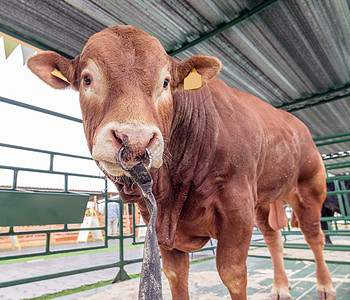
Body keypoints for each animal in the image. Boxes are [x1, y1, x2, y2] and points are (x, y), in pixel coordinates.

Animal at [26, 25, 334, 300]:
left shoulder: (237, 206)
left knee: (314, 235)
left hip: (310, 188)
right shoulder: (160, 224)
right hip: (264, 202)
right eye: (87, 79)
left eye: (165, 82)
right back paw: (281, 286)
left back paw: (325, 286)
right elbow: (176, 275)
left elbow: (233, 274)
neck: (173, 189)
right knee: (273, 239)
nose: (134, 139)